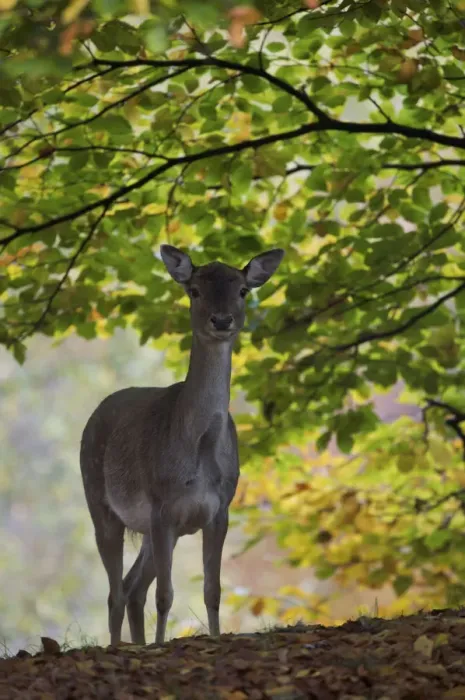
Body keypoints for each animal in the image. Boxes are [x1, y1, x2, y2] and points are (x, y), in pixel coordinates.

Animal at [80, 244, 284, 646]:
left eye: (242, 290)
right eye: (195, 290)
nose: (222, 321)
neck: (200, 450)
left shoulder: (220, 508)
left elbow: (212, 589)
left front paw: (215, 638)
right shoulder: (162, 506)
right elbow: (166, 594)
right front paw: (161, 646)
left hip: (146, 530)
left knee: (132, 587)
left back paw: (137, 643)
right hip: (100, 502)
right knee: (116, 591)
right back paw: (120, 646)